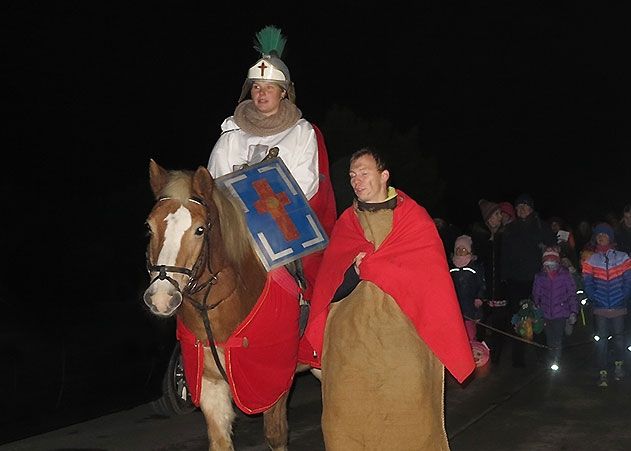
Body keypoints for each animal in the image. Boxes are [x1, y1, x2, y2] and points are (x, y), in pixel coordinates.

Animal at [143, 161, 316, 450]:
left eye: (200, 229)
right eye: (149, 228)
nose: (161, 298)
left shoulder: (274, 383)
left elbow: (276, 436)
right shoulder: (209, 385)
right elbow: (220, 440)